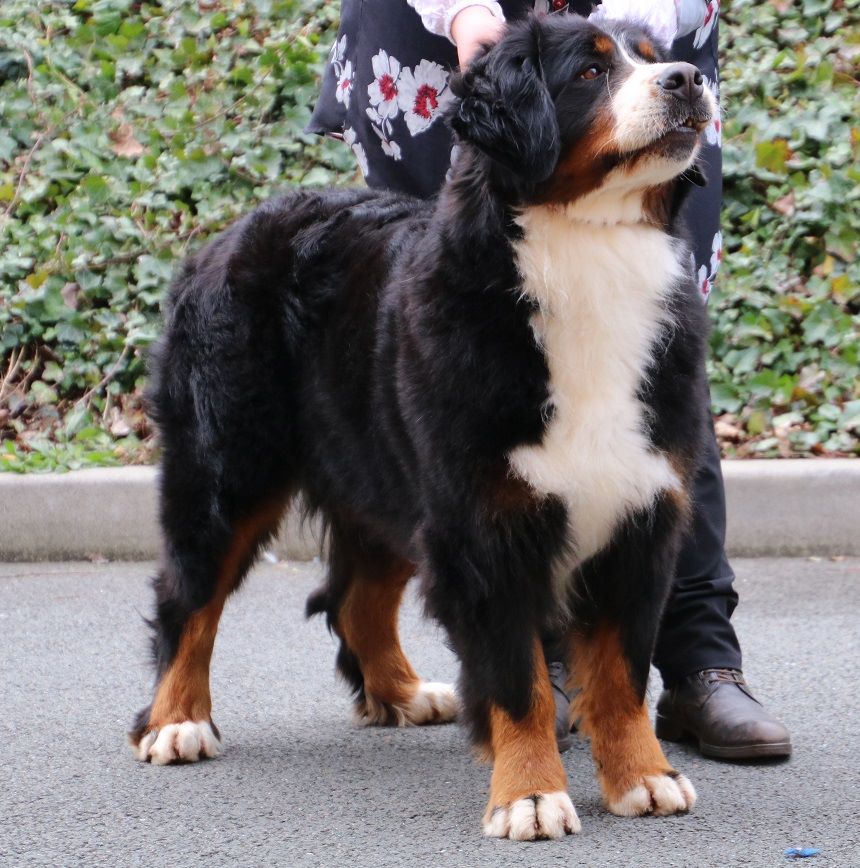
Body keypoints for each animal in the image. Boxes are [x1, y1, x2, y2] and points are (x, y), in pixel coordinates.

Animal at [129, 13, 720, 840]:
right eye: (590, 72)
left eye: (653, 55)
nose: (688, 80)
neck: (587, 255)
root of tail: (226, 235)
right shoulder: (485, 524)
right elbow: (518, 680)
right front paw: (530, 794)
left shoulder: (640, 511)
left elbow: (622, 672)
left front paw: (644, 777)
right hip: (229, 470)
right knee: (189, 594)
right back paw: (176, 721)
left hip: (385, 474)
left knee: (355, 597)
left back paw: (405, 694)